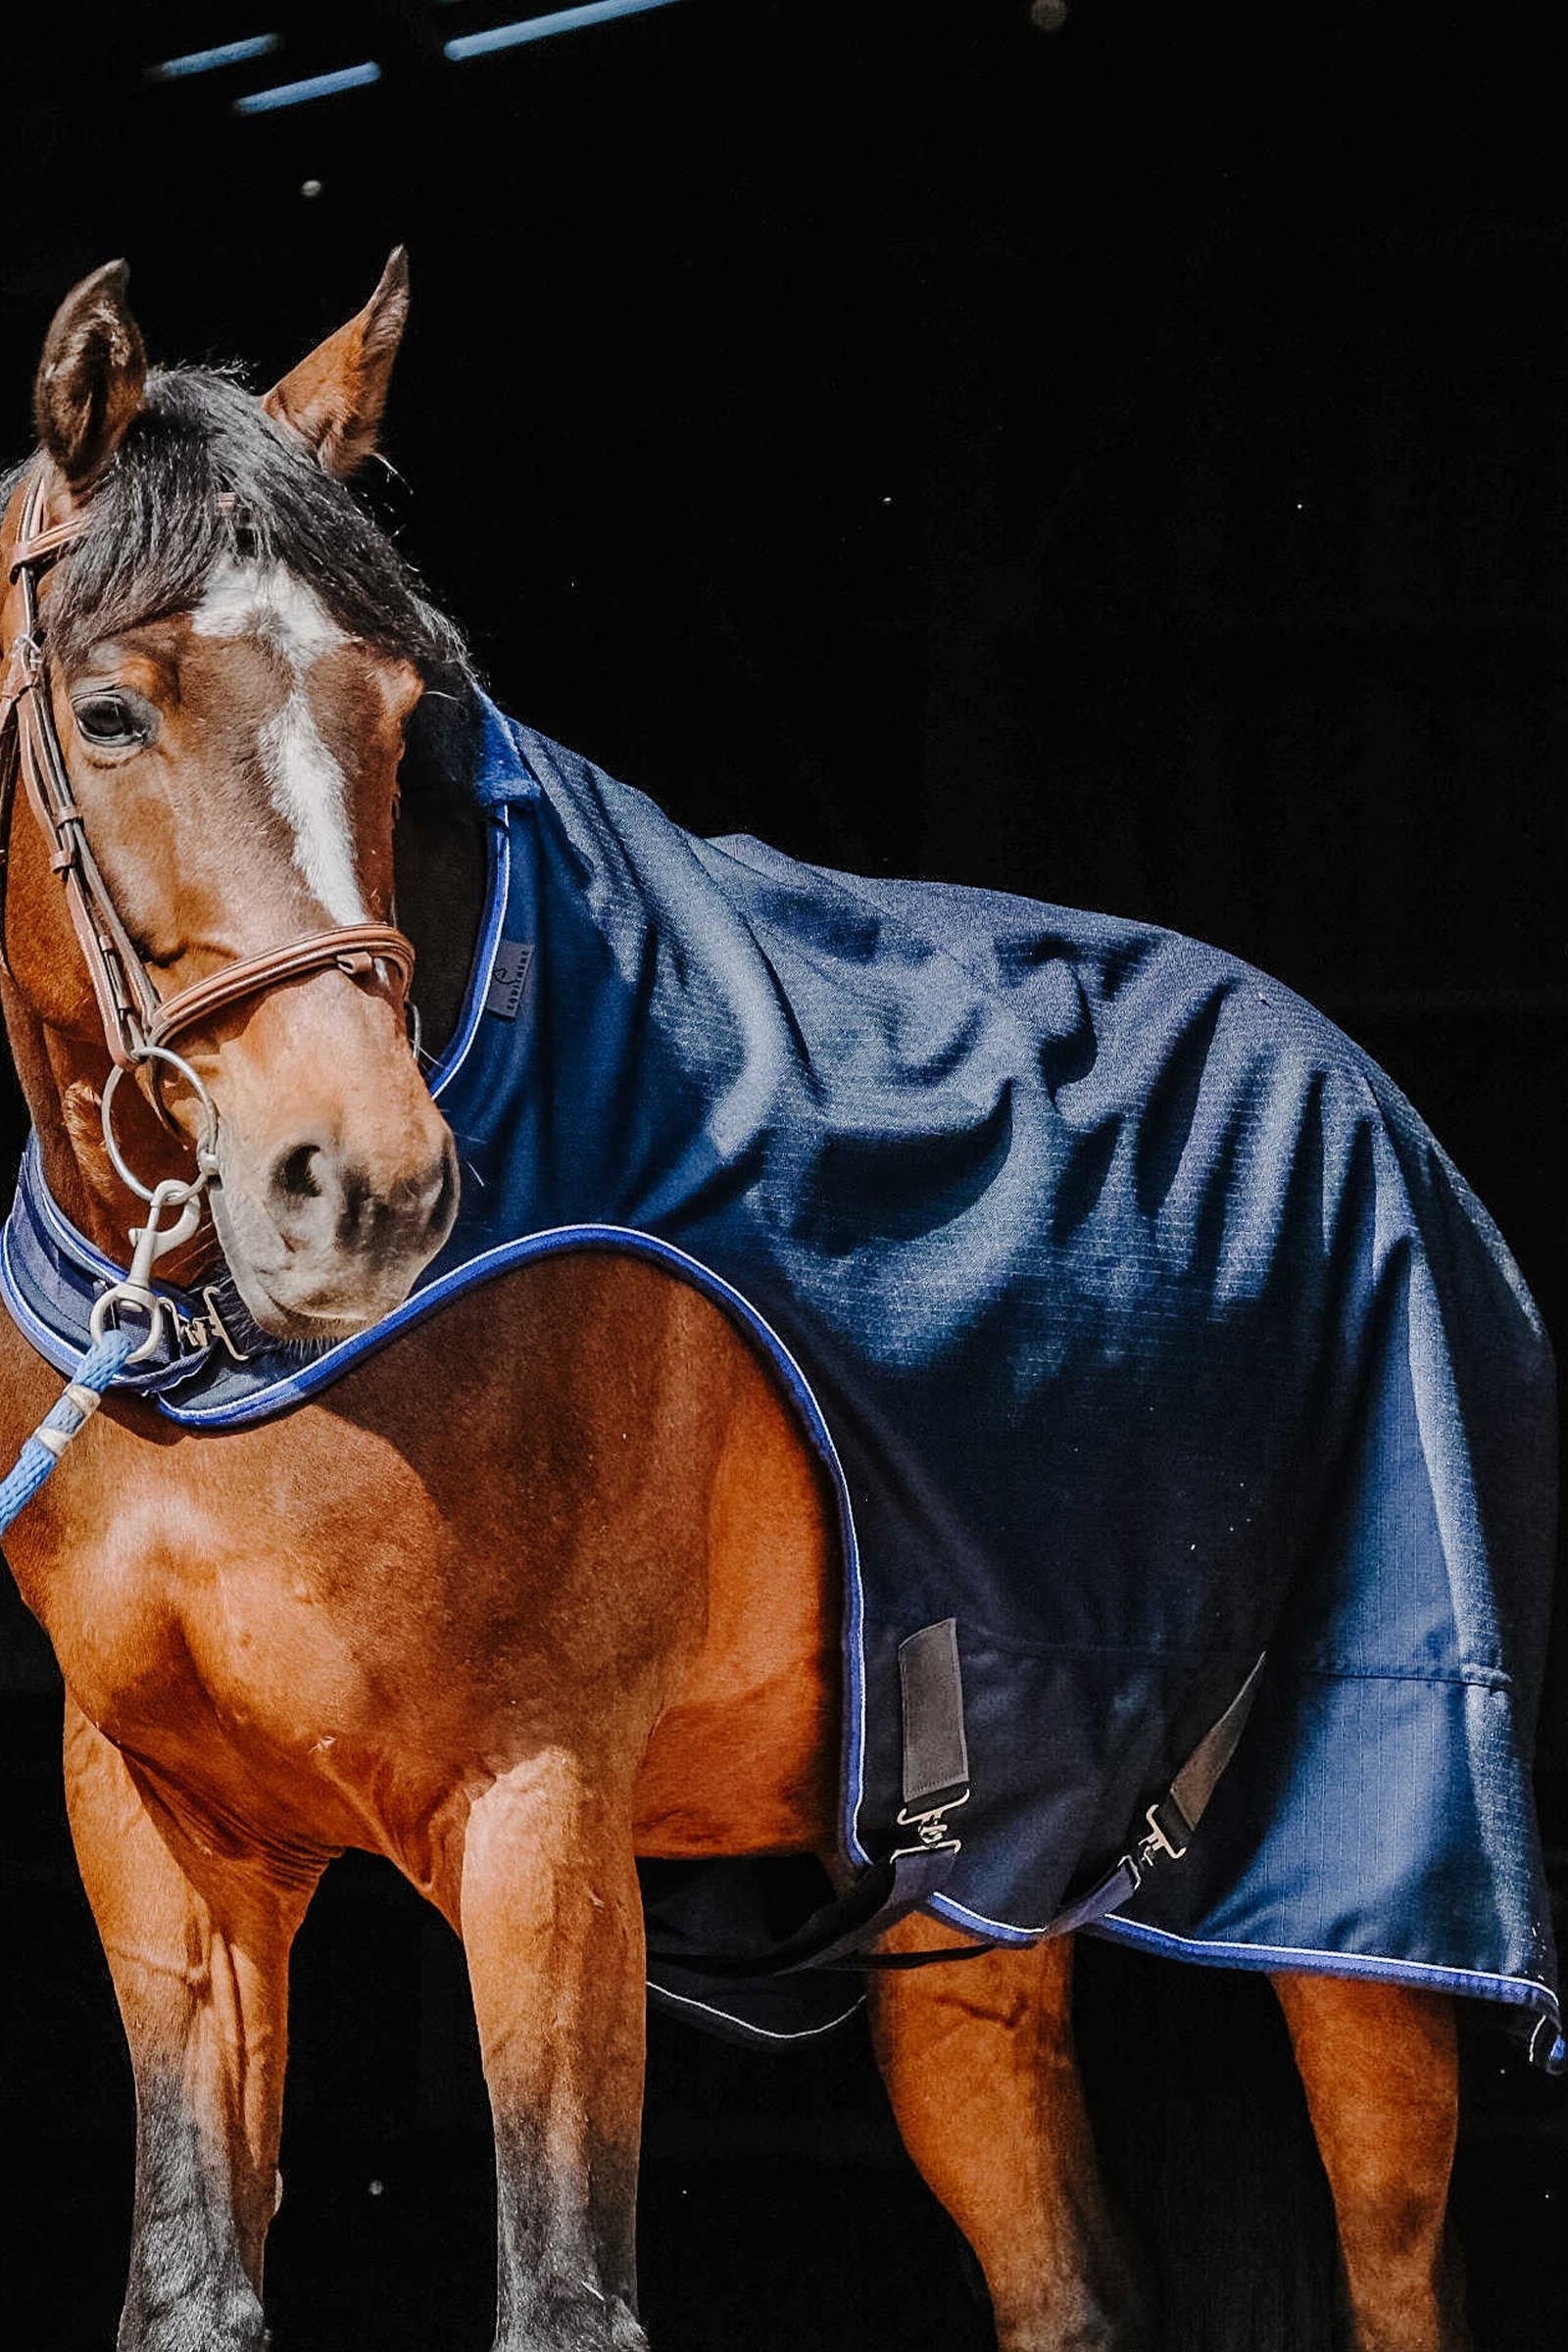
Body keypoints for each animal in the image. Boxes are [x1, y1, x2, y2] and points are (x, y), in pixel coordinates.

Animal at [0, 252, 1538, 2352]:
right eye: (109, 710)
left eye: (397, 713)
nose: (361, 1186)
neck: (231, 1373)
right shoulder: (162, 1834)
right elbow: (191, 2283)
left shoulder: (541, 1817)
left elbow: (563, 2290)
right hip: (980, 1920)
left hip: (1378, 1925)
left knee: (1401, 2270)